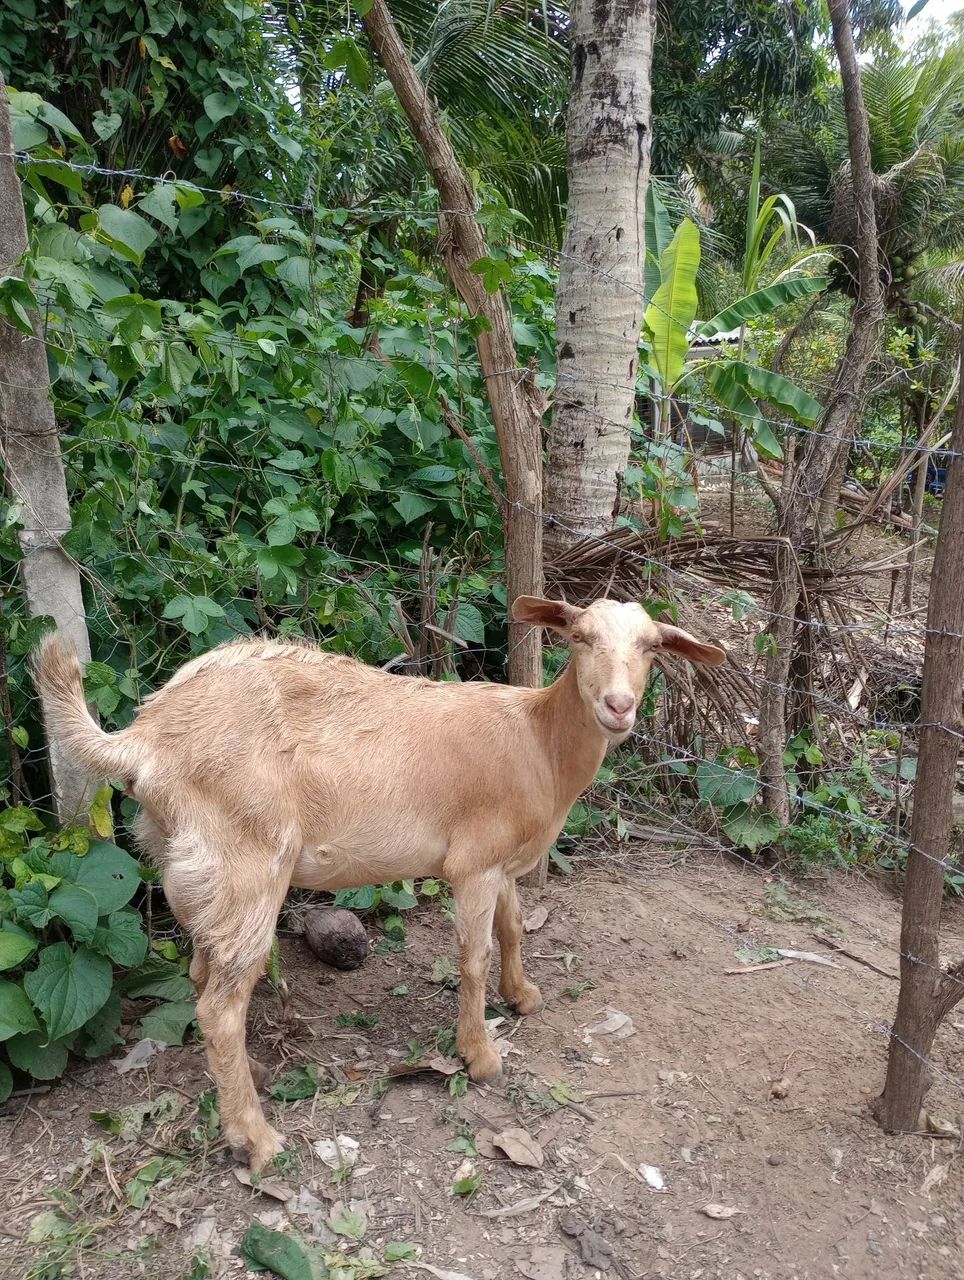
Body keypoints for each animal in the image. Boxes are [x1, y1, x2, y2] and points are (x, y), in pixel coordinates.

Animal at [33, 595, 725, 1170]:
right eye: (579, 637)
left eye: (653, 647)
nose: (619, 707)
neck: (538, 741)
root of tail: (146, 739)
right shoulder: (474, 864)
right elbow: (474, 956)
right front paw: (480, 1054)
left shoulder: (499, 861)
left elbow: (513, 927)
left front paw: (523, 996)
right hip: (248, 858)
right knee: (220, 1005)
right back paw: (255, 1138)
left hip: (195, 866)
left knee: (205, 976)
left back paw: (245, 1075)